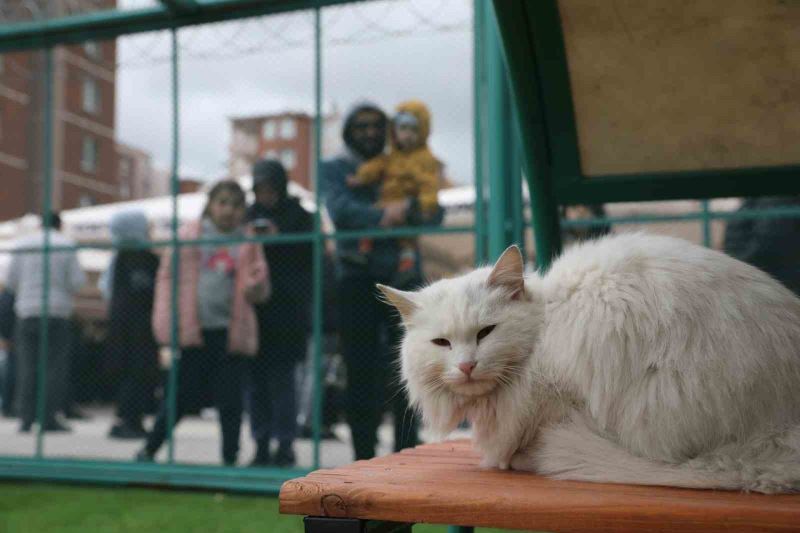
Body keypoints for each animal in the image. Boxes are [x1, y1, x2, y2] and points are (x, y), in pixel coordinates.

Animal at [376, 235, 800, 492]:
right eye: (442, 343)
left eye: (485, 333)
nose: (467, 366)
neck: (547, 322)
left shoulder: (562, 393)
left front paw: (516, 459)